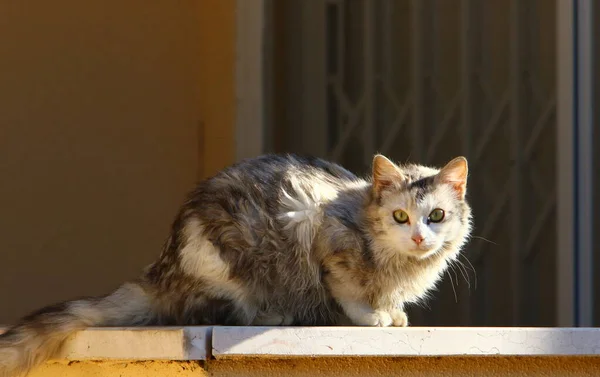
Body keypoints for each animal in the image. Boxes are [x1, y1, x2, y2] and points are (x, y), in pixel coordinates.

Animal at [0, 153, 474, 376]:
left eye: (436, 216)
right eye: (400, 216)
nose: (419, 236)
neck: (399, 265)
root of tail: (160, 271)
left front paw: (393, 312)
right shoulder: (317, 224)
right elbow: (348, 290)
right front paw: (371, 316)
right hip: (227, 263)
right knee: (213, 310)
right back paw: (278, 314)